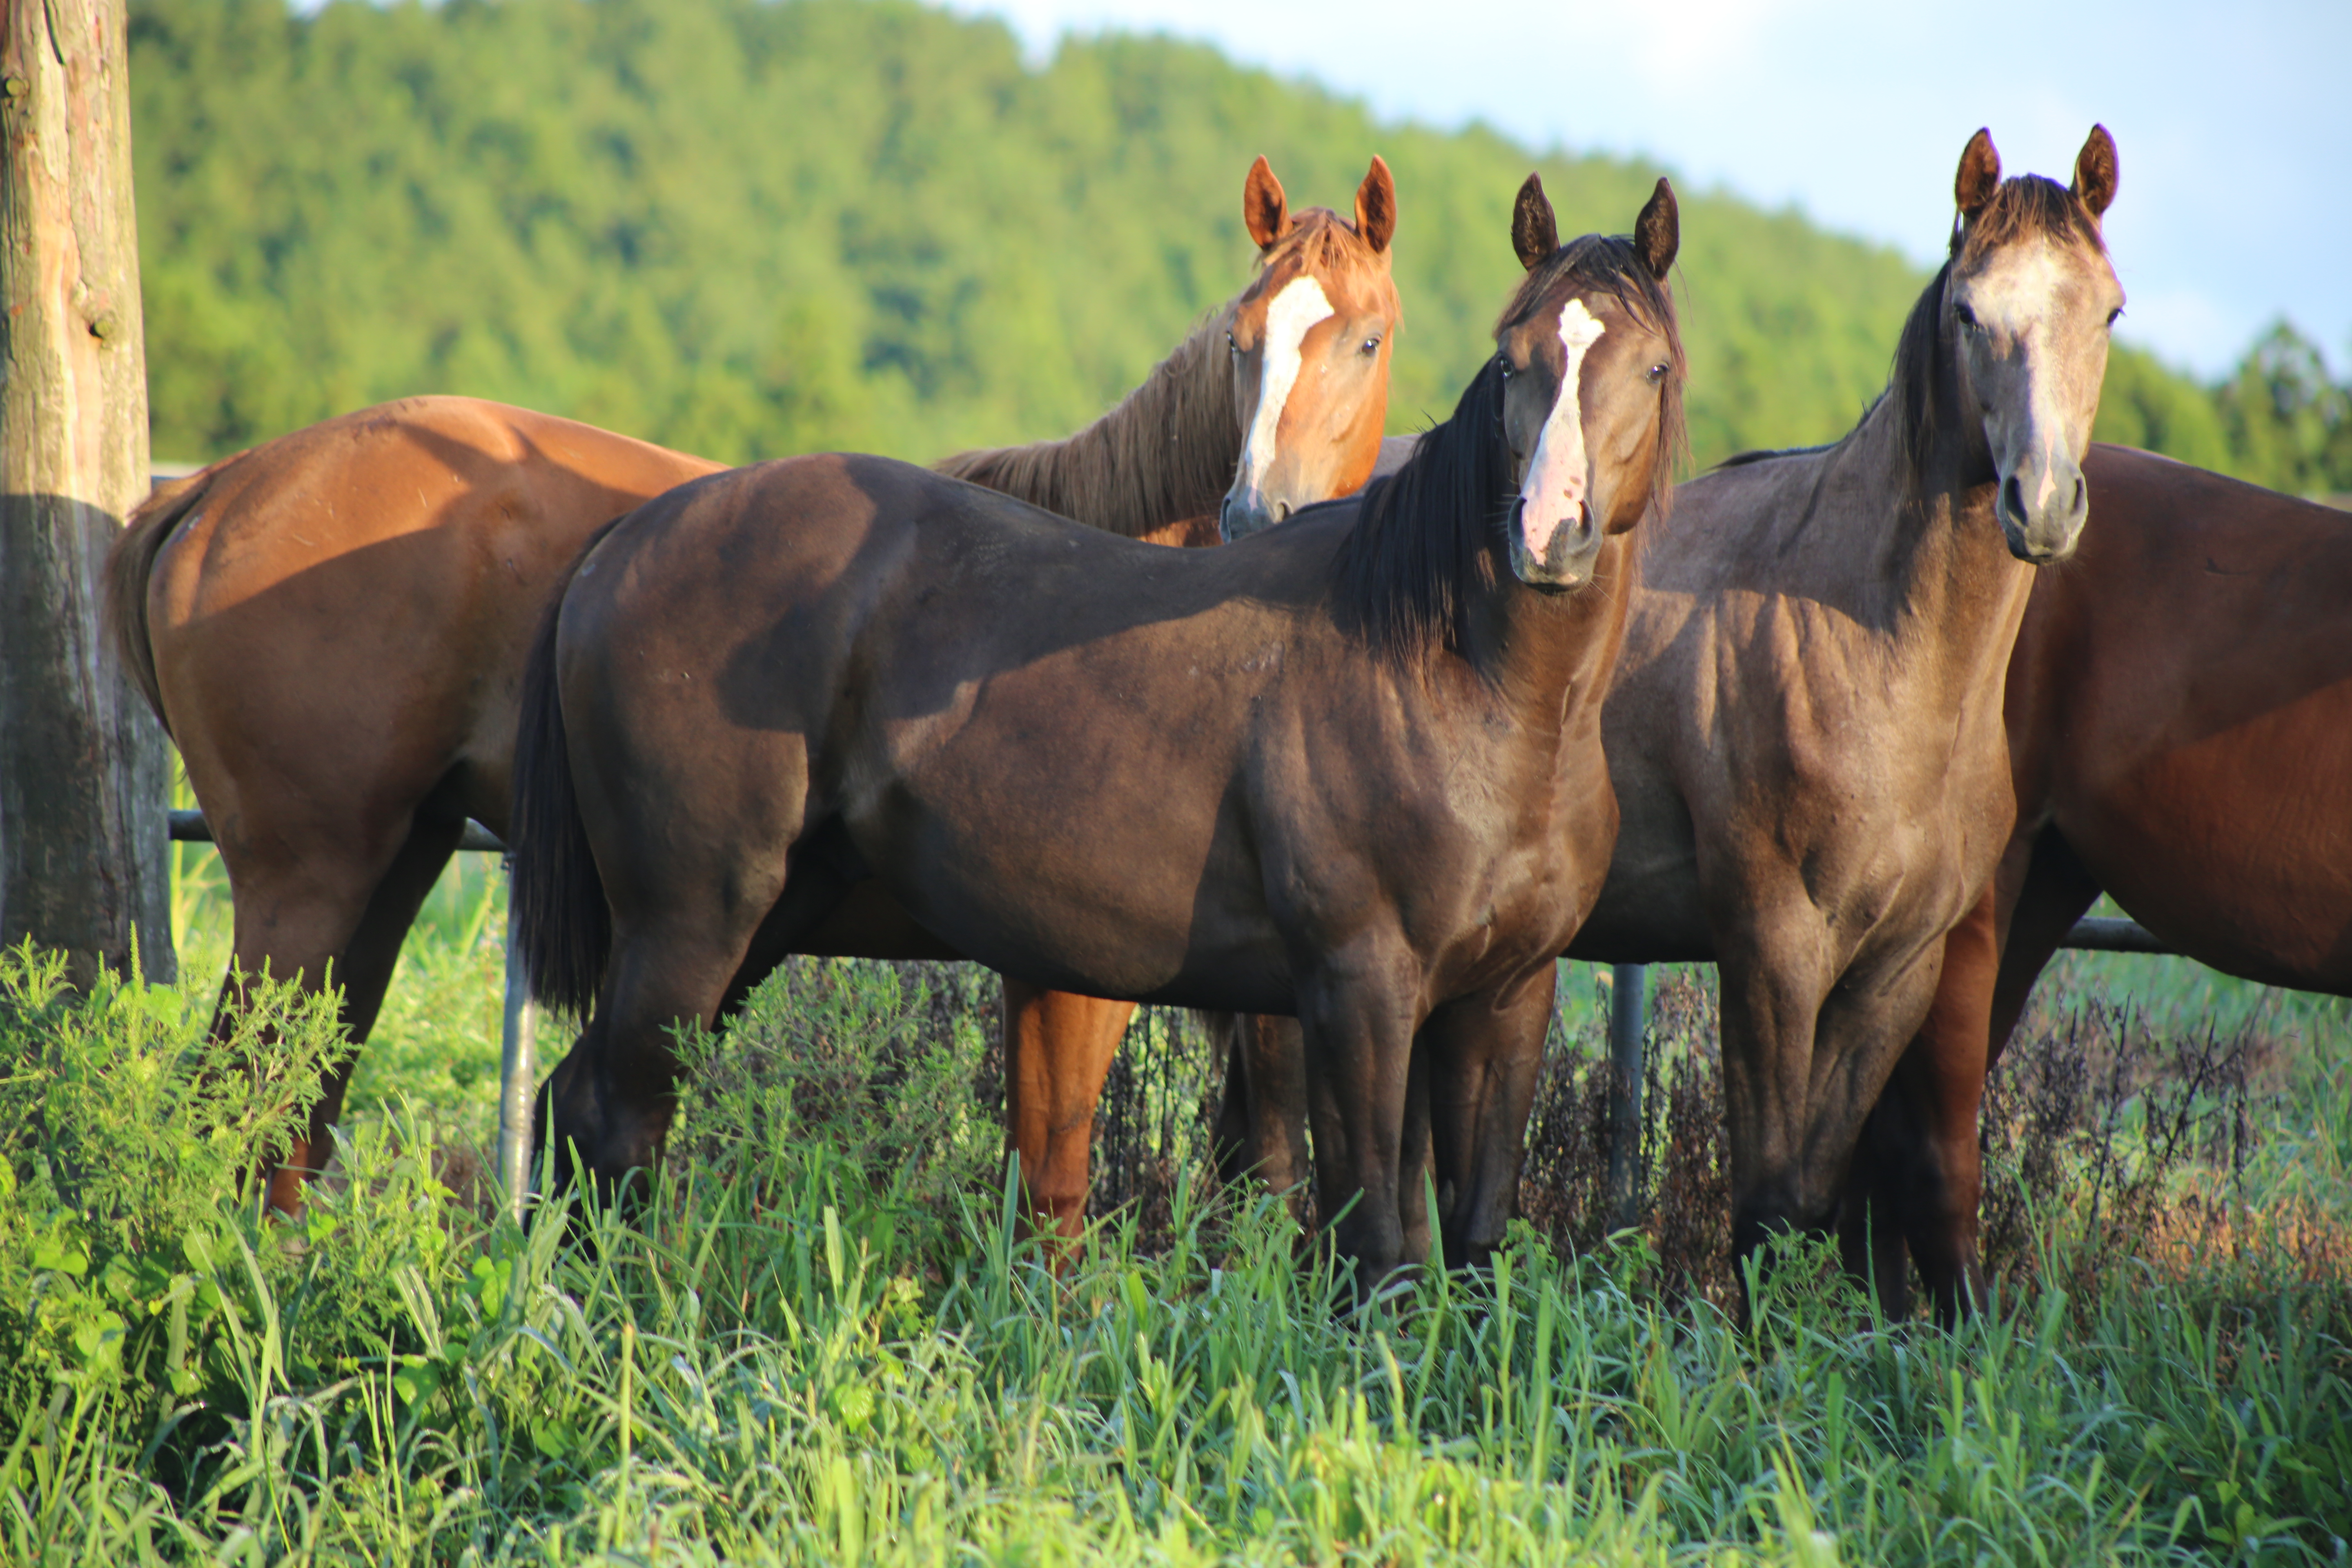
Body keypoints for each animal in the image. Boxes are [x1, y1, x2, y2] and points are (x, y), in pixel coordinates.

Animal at [106, 156, 1392, 1213]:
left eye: (1367, 339)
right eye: (1240, 339)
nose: (1258, 511)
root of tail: (220, 491)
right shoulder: (1089, 976)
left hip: (392, 870)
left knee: (291, 1111)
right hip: (313, 883)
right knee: (247, 1098)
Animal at [510, 181, 1693, 1288]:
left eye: (1651, 368)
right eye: (1513, 359)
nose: (1547, 531)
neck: (1461, 684)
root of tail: (627, 538)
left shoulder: (1502, 1001)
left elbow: (1466, 1238)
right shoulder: (1355, 994)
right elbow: (1368, 1246)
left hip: (758, 923)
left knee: (587, 1108)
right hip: (689, 923)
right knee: (609, 1117)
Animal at [1214, 126, 2136, 1297]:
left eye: (2106, 313)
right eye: (1969, 311)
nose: (2043, 502)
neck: (1873, 644)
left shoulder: (1899, 967)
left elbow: (1816, 1190)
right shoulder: (1772, 947)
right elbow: (1771, 1202)